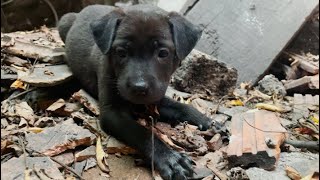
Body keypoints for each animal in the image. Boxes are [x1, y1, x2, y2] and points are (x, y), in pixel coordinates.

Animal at [58, 4, 216, 180]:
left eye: (163, 53)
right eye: (121, 52)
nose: (138, 87)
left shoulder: (156, 97)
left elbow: (180, 106)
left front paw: (206, 120)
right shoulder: (112, 113)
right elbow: (142, 133)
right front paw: (170, 158)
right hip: (64, 22)